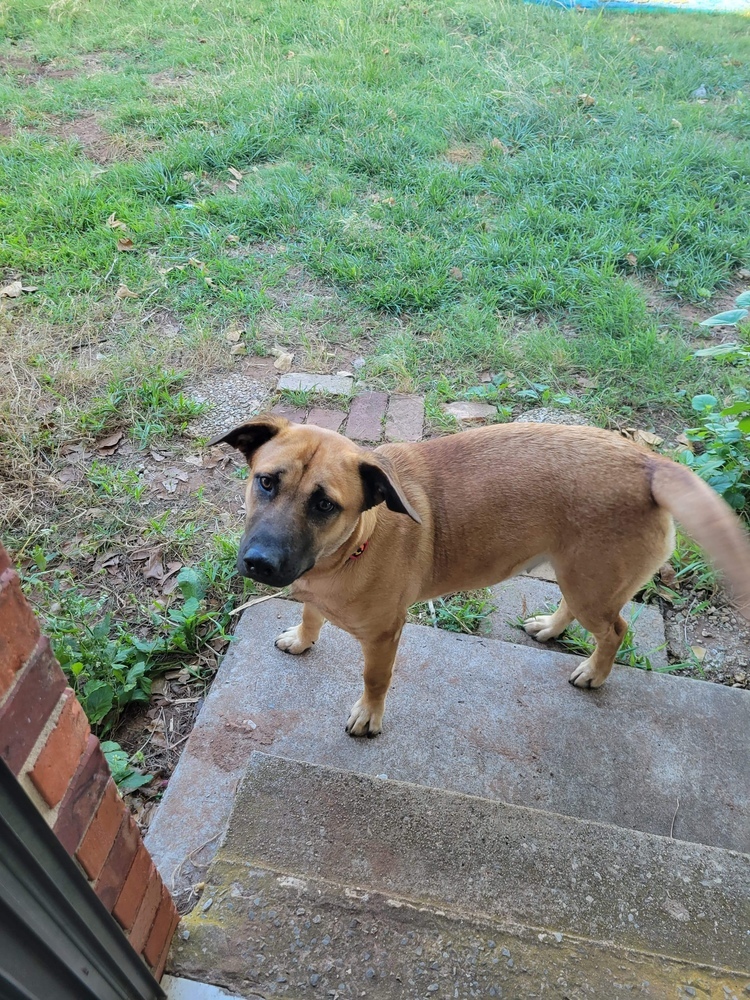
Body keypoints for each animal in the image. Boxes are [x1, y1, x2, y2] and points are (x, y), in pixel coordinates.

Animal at [212, 414, 750, 736]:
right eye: (266, 481)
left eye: (325, 505)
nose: (260, 562)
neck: (349, 549)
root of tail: (648, 462)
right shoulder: (313, 594)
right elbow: (310, 615)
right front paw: (303, 639)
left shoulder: (385, 636)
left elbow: (375, 679)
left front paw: (368, 715)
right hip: (577, 575)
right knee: (579, 612)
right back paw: (551, 629)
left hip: (593, 585)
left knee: (615, 630)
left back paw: (594, 673)